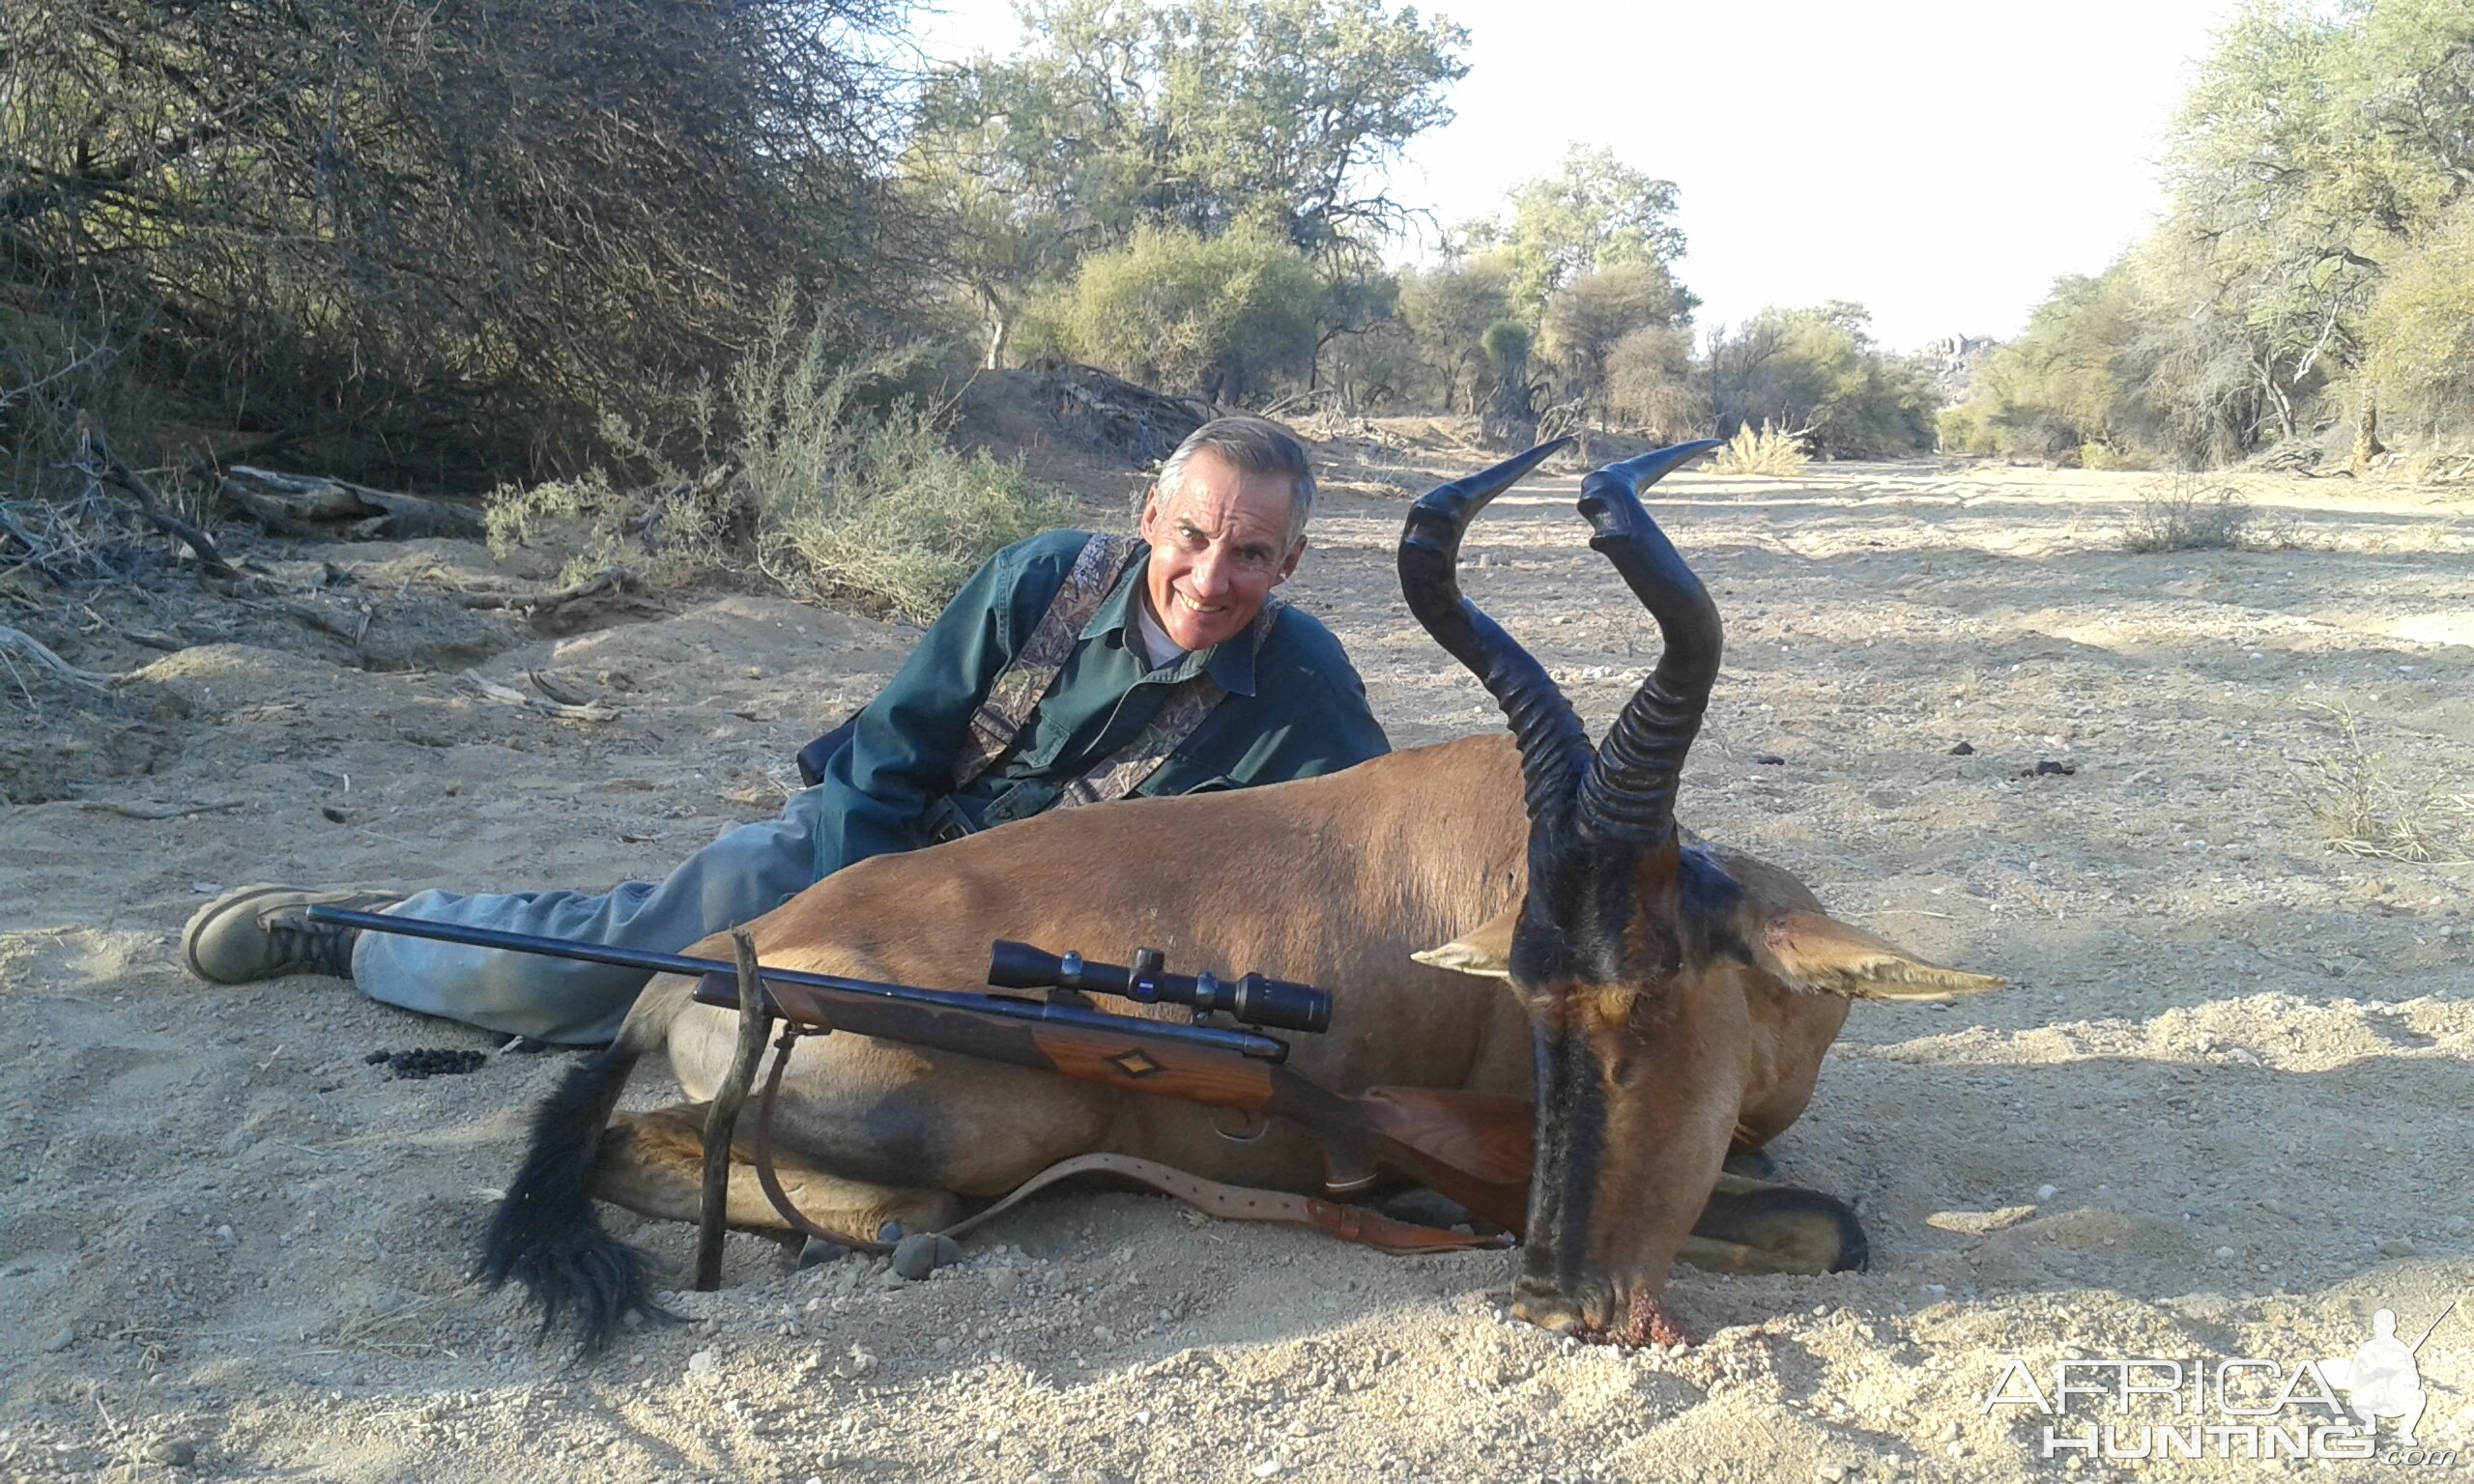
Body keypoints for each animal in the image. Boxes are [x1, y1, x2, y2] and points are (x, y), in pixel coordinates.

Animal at [487, 438, 2008, 1345]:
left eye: (1651, 997)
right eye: (1540, 1001)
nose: (1557, 1298)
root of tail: (709, 964)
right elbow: (1830, 1223)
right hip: (990, 1123)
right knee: (655, 1151)